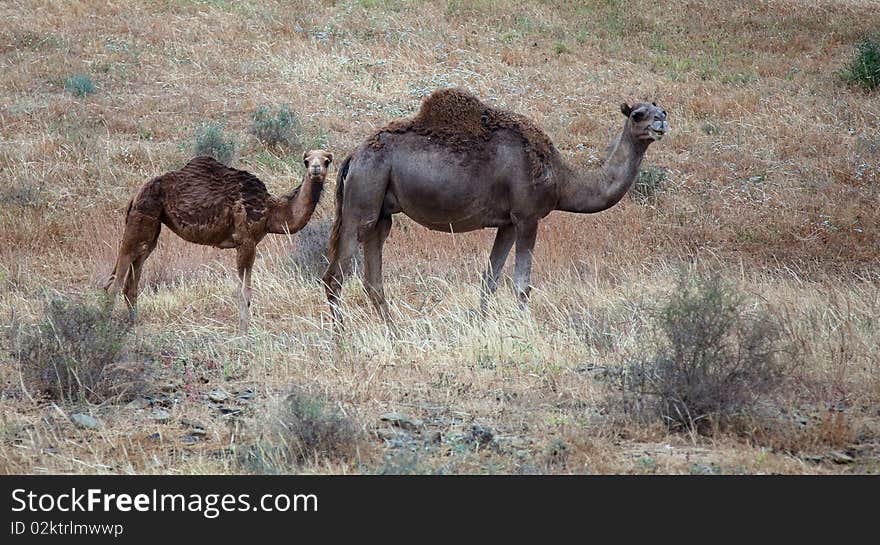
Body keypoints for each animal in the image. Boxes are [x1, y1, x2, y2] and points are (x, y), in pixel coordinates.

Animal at [105, 151, 334, 334]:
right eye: (306, 160)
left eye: (327, 160)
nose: (315, 168)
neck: (272, 212)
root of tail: (135, 195)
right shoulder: (246, 242)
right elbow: (244, 293)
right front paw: (243, 335)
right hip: (142, 217)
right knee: (116, 280)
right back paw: (105, 325)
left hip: (152, 228)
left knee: (132, 278)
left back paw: (133, 325)